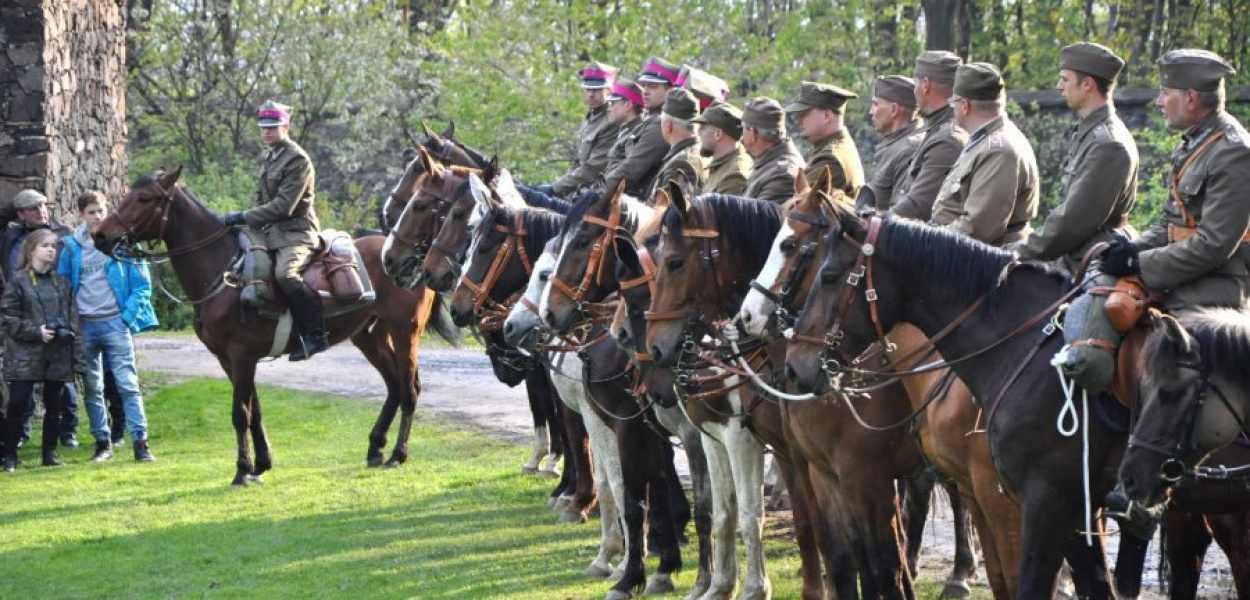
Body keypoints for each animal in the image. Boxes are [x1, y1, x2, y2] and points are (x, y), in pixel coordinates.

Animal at [95, 166, 455, 485]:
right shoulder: (229, 359)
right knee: (394, 385)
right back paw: (376, 447)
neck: (225, 273)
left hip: (405, 332)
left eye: (145, 198)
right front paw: (261, 464)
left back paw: (397, 454)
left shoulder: (241, 356)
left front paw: (242, 471)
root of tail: (412, 257)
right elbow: (255, 411)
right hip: (369, 336)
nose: (100, 234)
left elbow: (240, 413)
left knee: (409, 389)